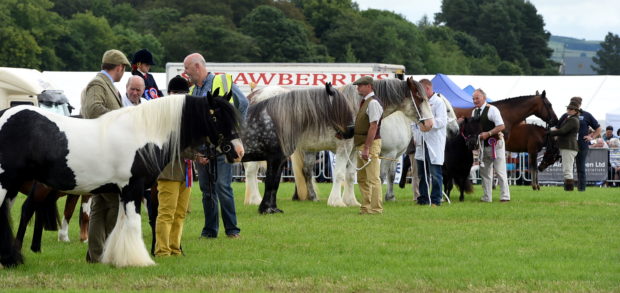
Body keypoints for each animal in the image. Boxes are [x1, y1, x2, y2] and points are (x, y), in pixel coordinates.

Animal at [0, 92, 242, 266]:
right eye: (215, 116)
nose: (238, 151)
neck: (144, 134)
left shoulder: (124, 191)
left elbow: (121, 224)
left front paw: (117, 258)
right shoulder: (134, 188)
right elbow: (134, 224)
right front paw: (140, 260)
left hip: (13, 186)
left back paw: (12, 259)